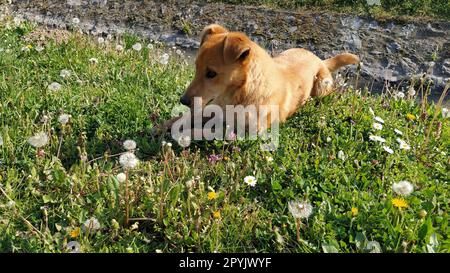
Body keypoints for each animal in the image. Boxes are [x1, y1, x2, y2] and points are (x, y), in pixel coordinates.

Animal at [157, 24, 358, 134]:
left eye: (211, 73)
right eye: (196, 67)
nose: (183, 101)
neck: (240, 93)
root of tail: (319, 59)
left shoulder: (246, 131)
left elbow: (203, 130)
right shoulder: (215, 108)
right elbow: (186, 117)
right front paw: (161, 126)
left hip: (322, 86)